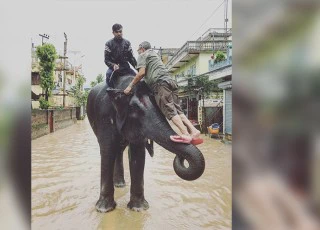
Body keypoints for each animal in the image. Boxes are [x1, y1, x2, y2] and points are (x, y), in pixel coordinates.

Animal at [86, 73, 205, 212]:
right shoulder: (104, 116)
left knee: (120, 150)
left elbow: (137, 153)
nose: (181, 157)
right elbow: (107, 150)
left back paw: (120, 185)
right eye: (133, 109)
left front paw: (139, 209)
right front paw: (104, 210)